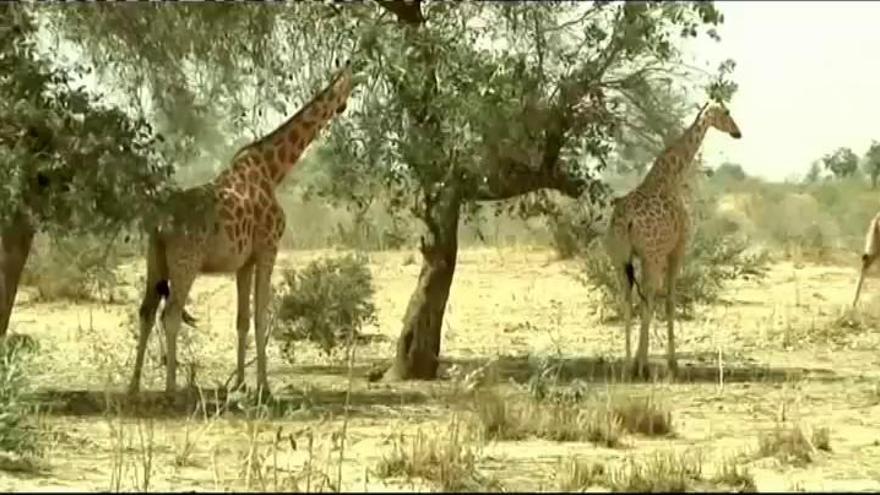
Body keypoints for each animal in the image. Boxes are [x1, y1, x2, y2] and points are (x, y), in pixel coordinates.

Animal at [129, 61, 356, 400]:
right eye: (351, 86)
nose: (343, 107)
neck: (274, 171)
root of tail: (159, 223)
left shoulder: (243, 262)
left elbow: (242, 320)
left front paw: (239, 384)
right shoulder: (268, 248)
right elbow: (262, 317)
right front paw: (264, 387)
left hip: (154, 259)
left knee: (145, 312)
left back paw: (133, 387)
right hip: (186, 262)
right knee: (170, 314)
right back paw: (172, 390)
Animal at [604, 102, 744, 378]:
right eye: (726, 112)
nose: (738, 133)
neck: (672, 176)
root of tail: (625, 221)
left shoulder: (648, 255)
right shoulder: (677, 249)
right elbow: (669, 300)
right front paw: (672, 363)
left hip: (619, 258)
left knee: (627, 299)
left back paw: (627, 365)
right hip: (651, 255)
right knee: (647, 299)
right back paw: (642, 366)